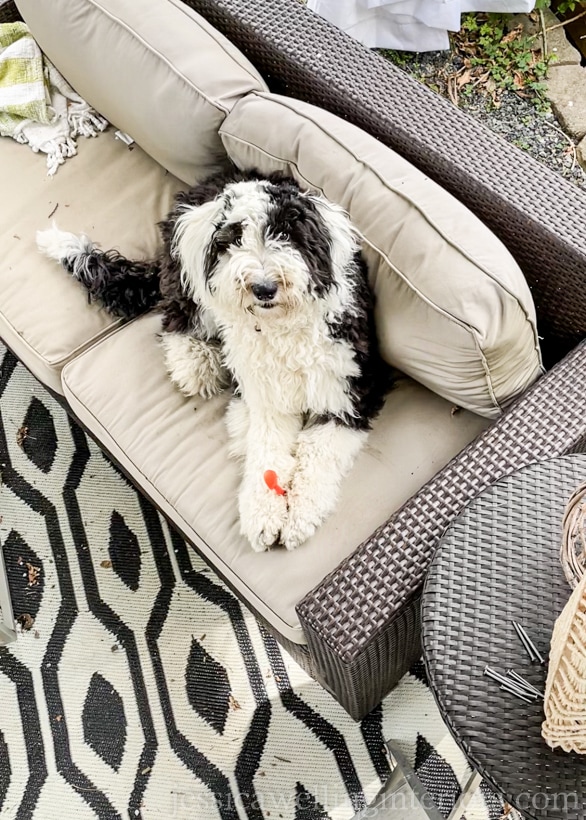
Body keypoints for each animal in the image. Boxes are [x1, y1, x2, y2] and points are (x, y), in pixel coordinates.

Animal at [38, 169, 390, 548]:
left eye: (285, 233)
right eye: (232, 240)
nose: (263, 288)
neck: (280, 328)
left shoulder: (349, 391)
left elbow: (319, 453)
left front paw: (300, 514)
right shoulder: (267, 399)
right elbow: (266, 447)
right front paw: (261, 514)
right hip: (191, 283)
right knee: (177, 313)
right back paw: (194, 364)